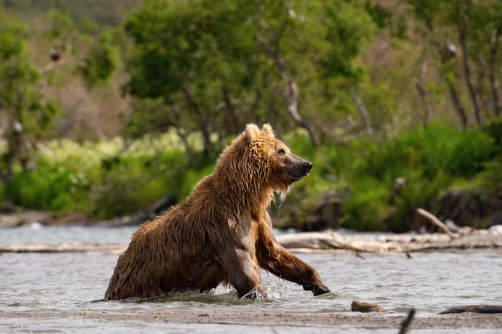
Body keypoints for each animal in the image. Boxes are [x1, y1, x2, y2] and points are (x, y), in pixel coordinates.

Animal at [105, 123, 330, 300]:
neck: (246, 198)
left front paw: (319, 284)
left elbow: (274, 253)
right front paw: (262, 293)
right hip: (141, 279)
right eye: (281, 151)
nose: (307, 164)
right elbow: (245, 272)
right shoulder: (226, 227)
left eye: (287, 148)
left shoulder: (259, 221)